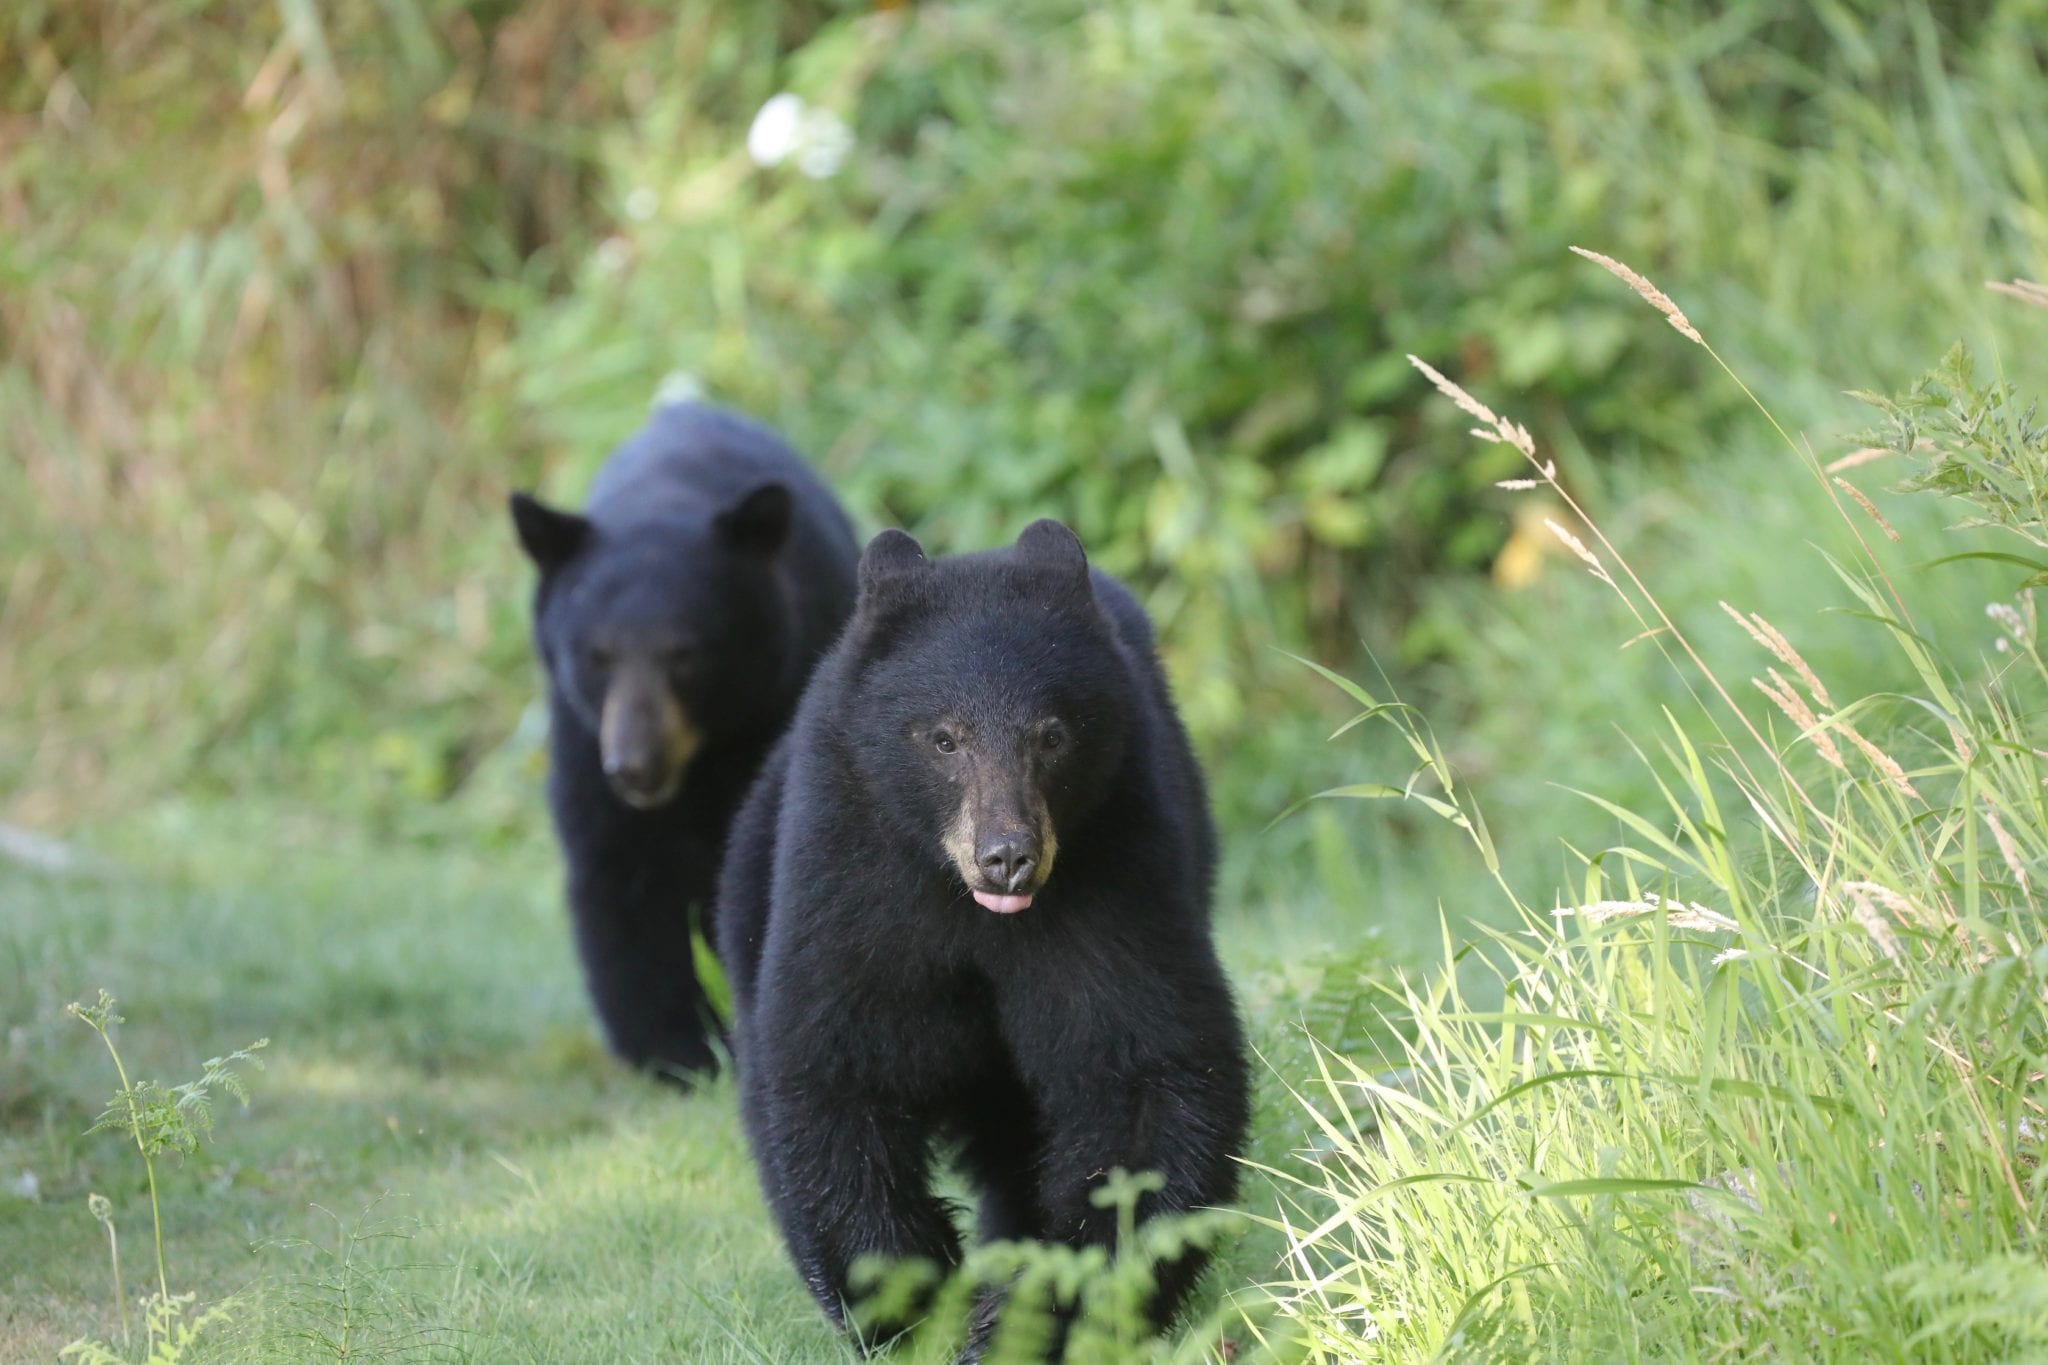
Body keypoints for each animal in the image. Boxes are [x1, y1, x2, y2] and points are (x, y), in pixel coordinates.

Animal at [520, 401, 864, 1080]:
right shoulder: (582, 736)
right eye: (596, 656)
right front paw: (673, 1052)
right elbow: (621, 875)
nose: (634, 767)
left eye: (686, 655)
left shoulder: (781, 697)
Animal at [720, 517, 1245, 1350]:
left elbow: (1144, 1061)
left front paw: (1045, 1307)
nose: (1007, 855)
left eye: (1053, 734)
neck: (968, 908)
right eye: (944, 738)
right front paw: (907, 1299)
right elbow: (834, 1063)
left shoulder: (1120, 869)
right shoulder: (851, 879)